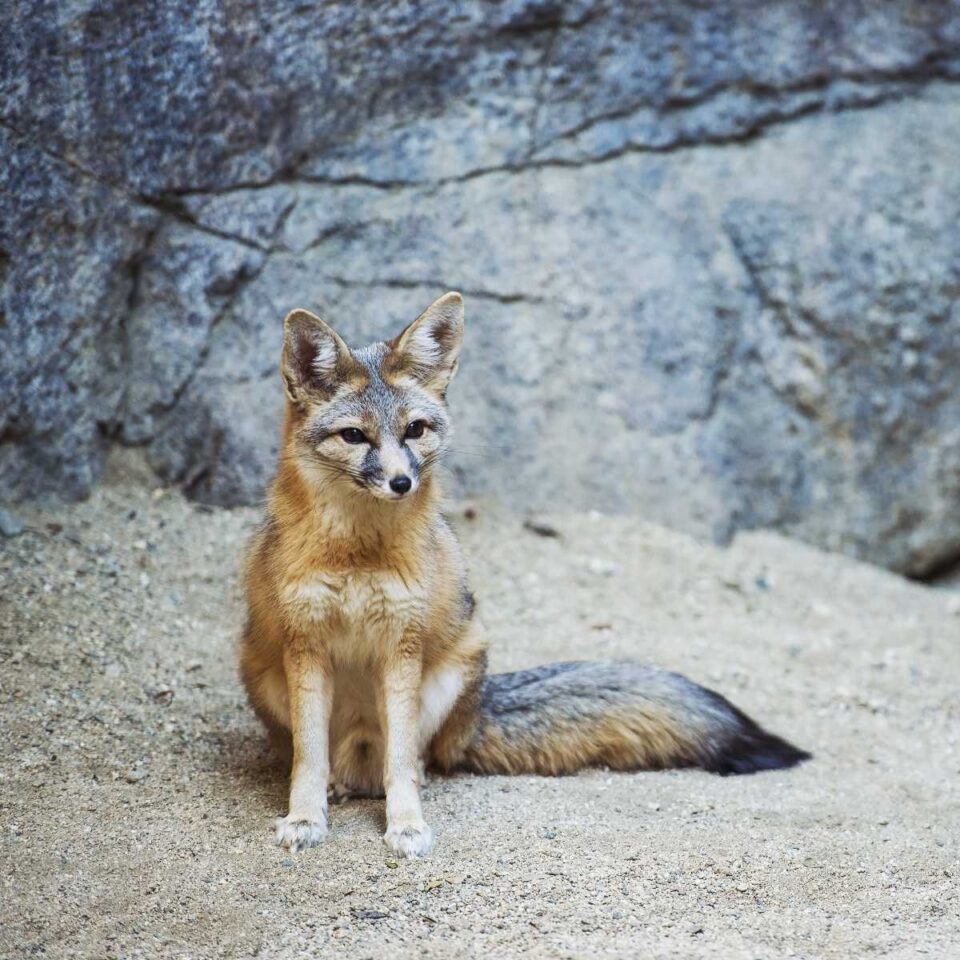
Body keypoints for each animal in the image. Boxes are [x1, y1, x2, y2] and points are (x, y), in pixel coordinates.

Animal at [239, 291, 810, 858]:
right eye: (354, 436)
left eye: (414, 430)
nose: (402, 483)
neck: (358, 554)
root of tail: (477, 712)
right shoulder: (306, 645)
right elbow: (309, 758)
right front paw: (304, 819)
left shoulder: (401, 646)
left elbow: (399, 762)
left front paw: (406, 826)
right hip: (263, 673)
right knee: (329, 761)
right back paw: (337, 786)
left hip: (451, 672)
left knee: (412, 762)